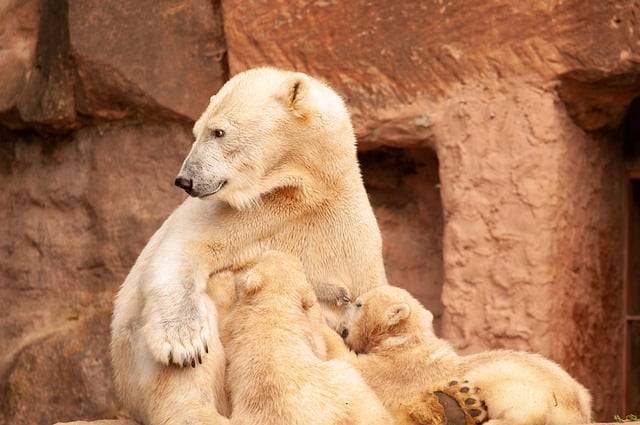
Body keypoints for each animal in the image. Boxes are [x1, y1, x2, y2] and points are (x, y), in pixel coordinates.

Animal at [112, 68, 388, 422]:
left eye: (218, 131)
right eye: (196, 131)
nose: (184, 180)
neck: (303, 189)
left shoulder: (347, 235)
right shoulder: (239, 214)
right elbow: (179, 253)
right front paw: (183, 343)